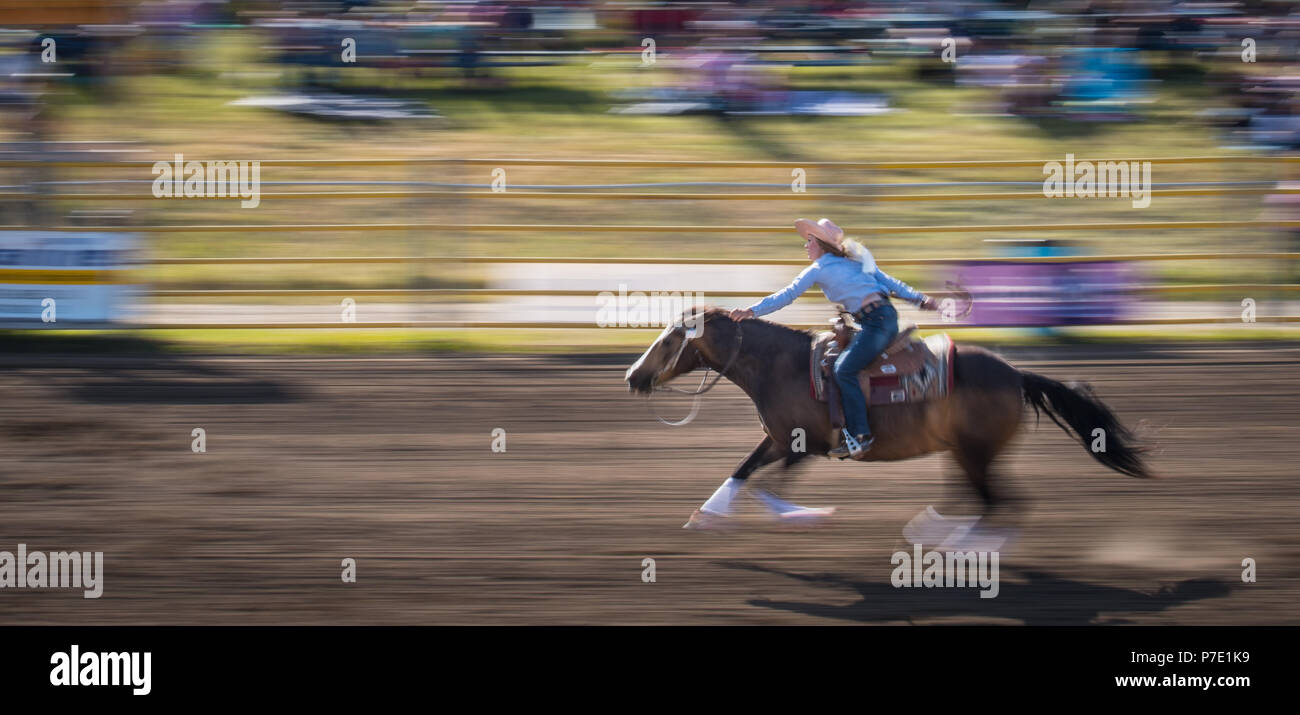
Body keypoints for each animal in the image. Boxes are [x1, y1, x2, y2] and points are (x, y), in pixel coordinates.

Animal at [624, 308, 1154, 533]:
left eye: (669, 341)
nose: (632, 376)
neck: (782, 366)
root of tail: (1016, 375)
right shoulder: (776, 440)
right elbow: (741, 473)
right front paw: (704, 516)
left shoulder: (806, 445)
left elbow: (770, 487)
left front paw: (805, 515)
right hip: (963, 453)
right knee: (980, 499)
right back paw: (936, 531)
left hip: (977, 452)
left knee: (998, 503)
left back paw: (955, 548)